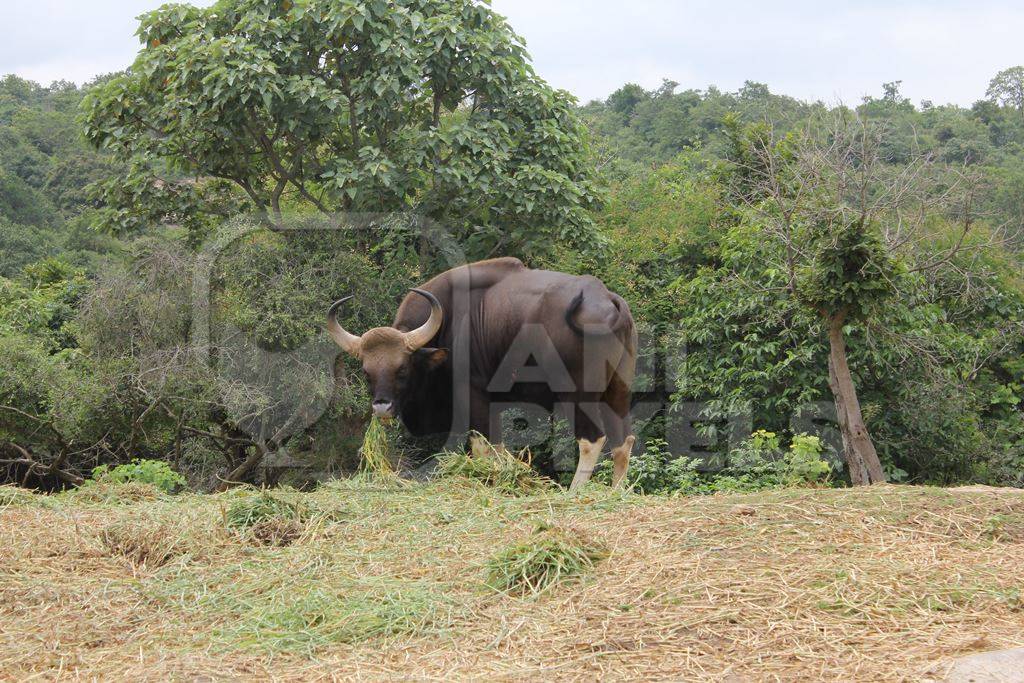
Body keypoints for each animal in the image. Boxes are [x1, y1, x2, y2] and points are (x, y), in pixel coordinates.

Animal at [325, 258, 630, 491]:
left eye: (402, 368)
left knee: (592, 440)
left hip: (578, 395)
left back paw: (575, 492)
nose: (382, 406)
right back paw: (617, 490)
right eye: (367, 372)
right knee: (623, 441)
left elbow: (484, 448)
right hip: (618, 391)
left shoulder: (475, 399)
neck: (448, 322)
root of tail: (607, 300)